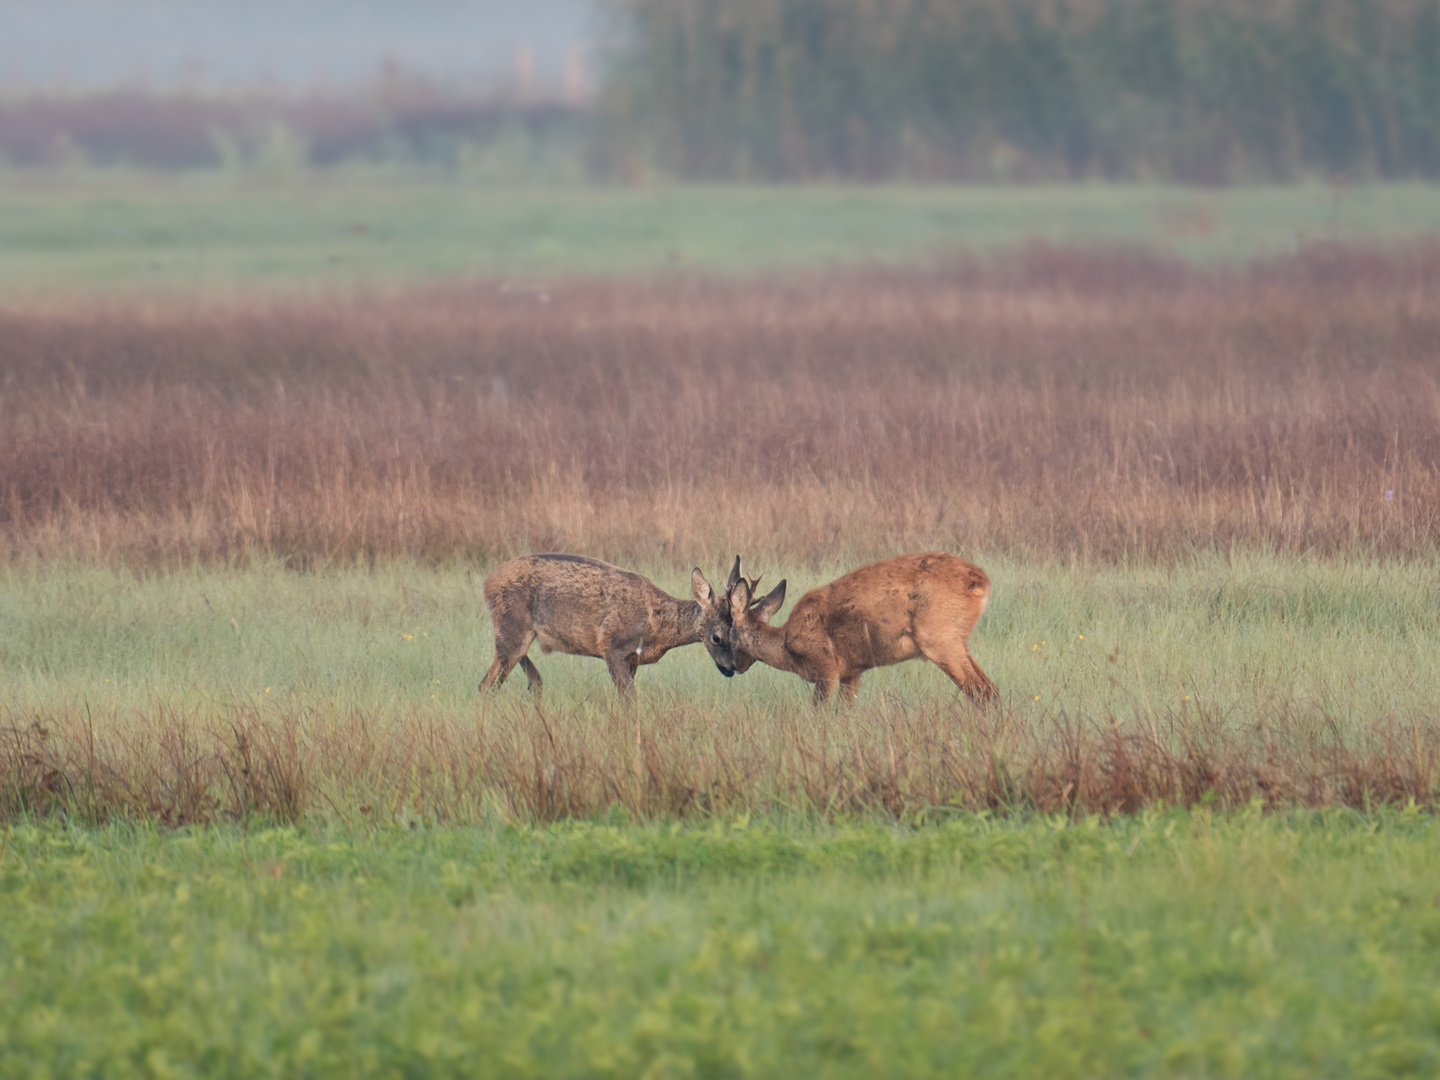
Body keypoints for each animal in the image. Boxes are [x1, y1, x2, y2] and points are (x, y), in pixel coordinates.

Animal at [478, 552, 743, 696]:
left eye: (736, 633)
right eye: (716, 637)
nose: (731, 668)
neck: (656, 623)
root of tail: (486, 582)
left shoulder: (632, 659)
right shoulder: (613, 647)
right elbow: (629, 701)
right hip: (511, 629)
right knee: (485, 685)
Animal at [725, 552, 996, 705]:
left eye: (728, 633)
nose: (731, 667)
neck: (787, 645)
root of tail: (981, 580)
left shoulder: (826, 666)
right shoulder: (852, 671)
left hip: (938, 638)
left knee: (982, 691)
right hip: (957, 640)